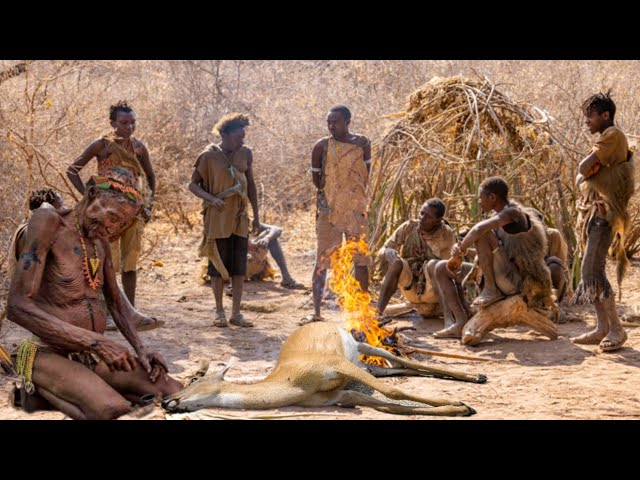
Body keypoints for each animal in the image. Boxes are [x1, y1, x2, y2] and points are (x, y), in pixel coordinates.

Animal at [162, 322, 488, 416]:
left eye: (193, 380)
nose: (166, 401)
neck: (292, 382)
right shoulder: (342, 397)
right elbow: (391, 406)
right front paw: (459, 408)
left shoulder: (339, 366)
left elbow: (393, 394)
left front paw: (461, 405)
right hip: (365, 365)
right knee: (398, 371)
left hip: (364, 349)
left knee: (405, 363)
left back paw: (478, 376)